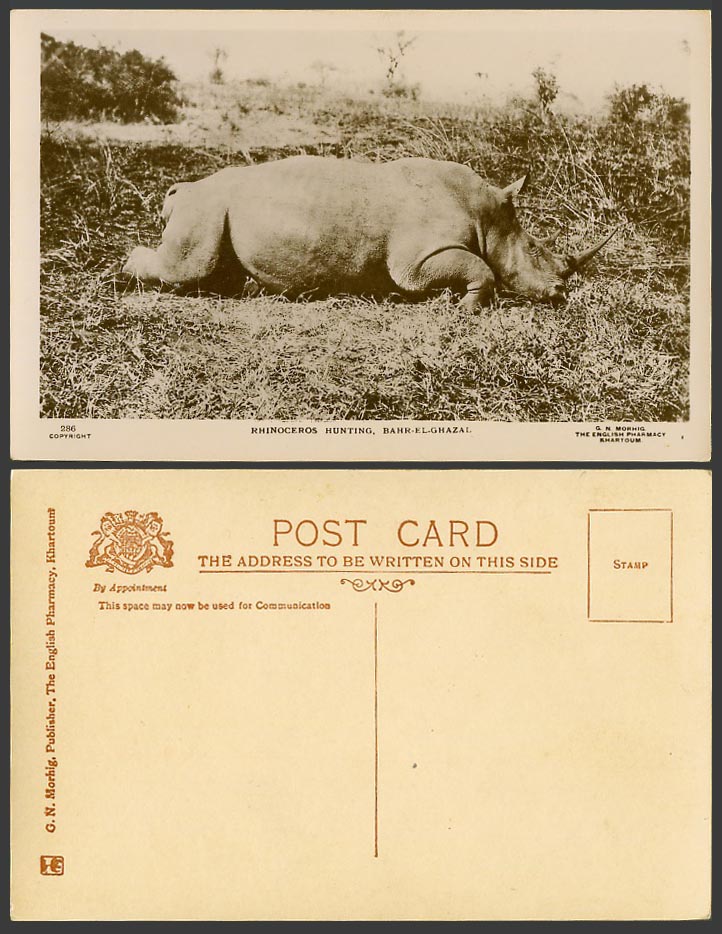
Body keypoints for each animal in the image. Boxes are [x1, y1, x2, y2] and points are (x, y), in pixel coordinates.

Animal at [123, 155, 615, 311]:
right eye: (534, 249)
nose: (559, 293)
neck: (487, 214)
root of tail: (184, 188)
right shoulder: (417, 260)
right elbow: (482, 269)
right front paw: (467, 309)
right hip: (206, 207)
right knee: (188, 268)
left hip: (213, 207)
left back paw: (248, 288)